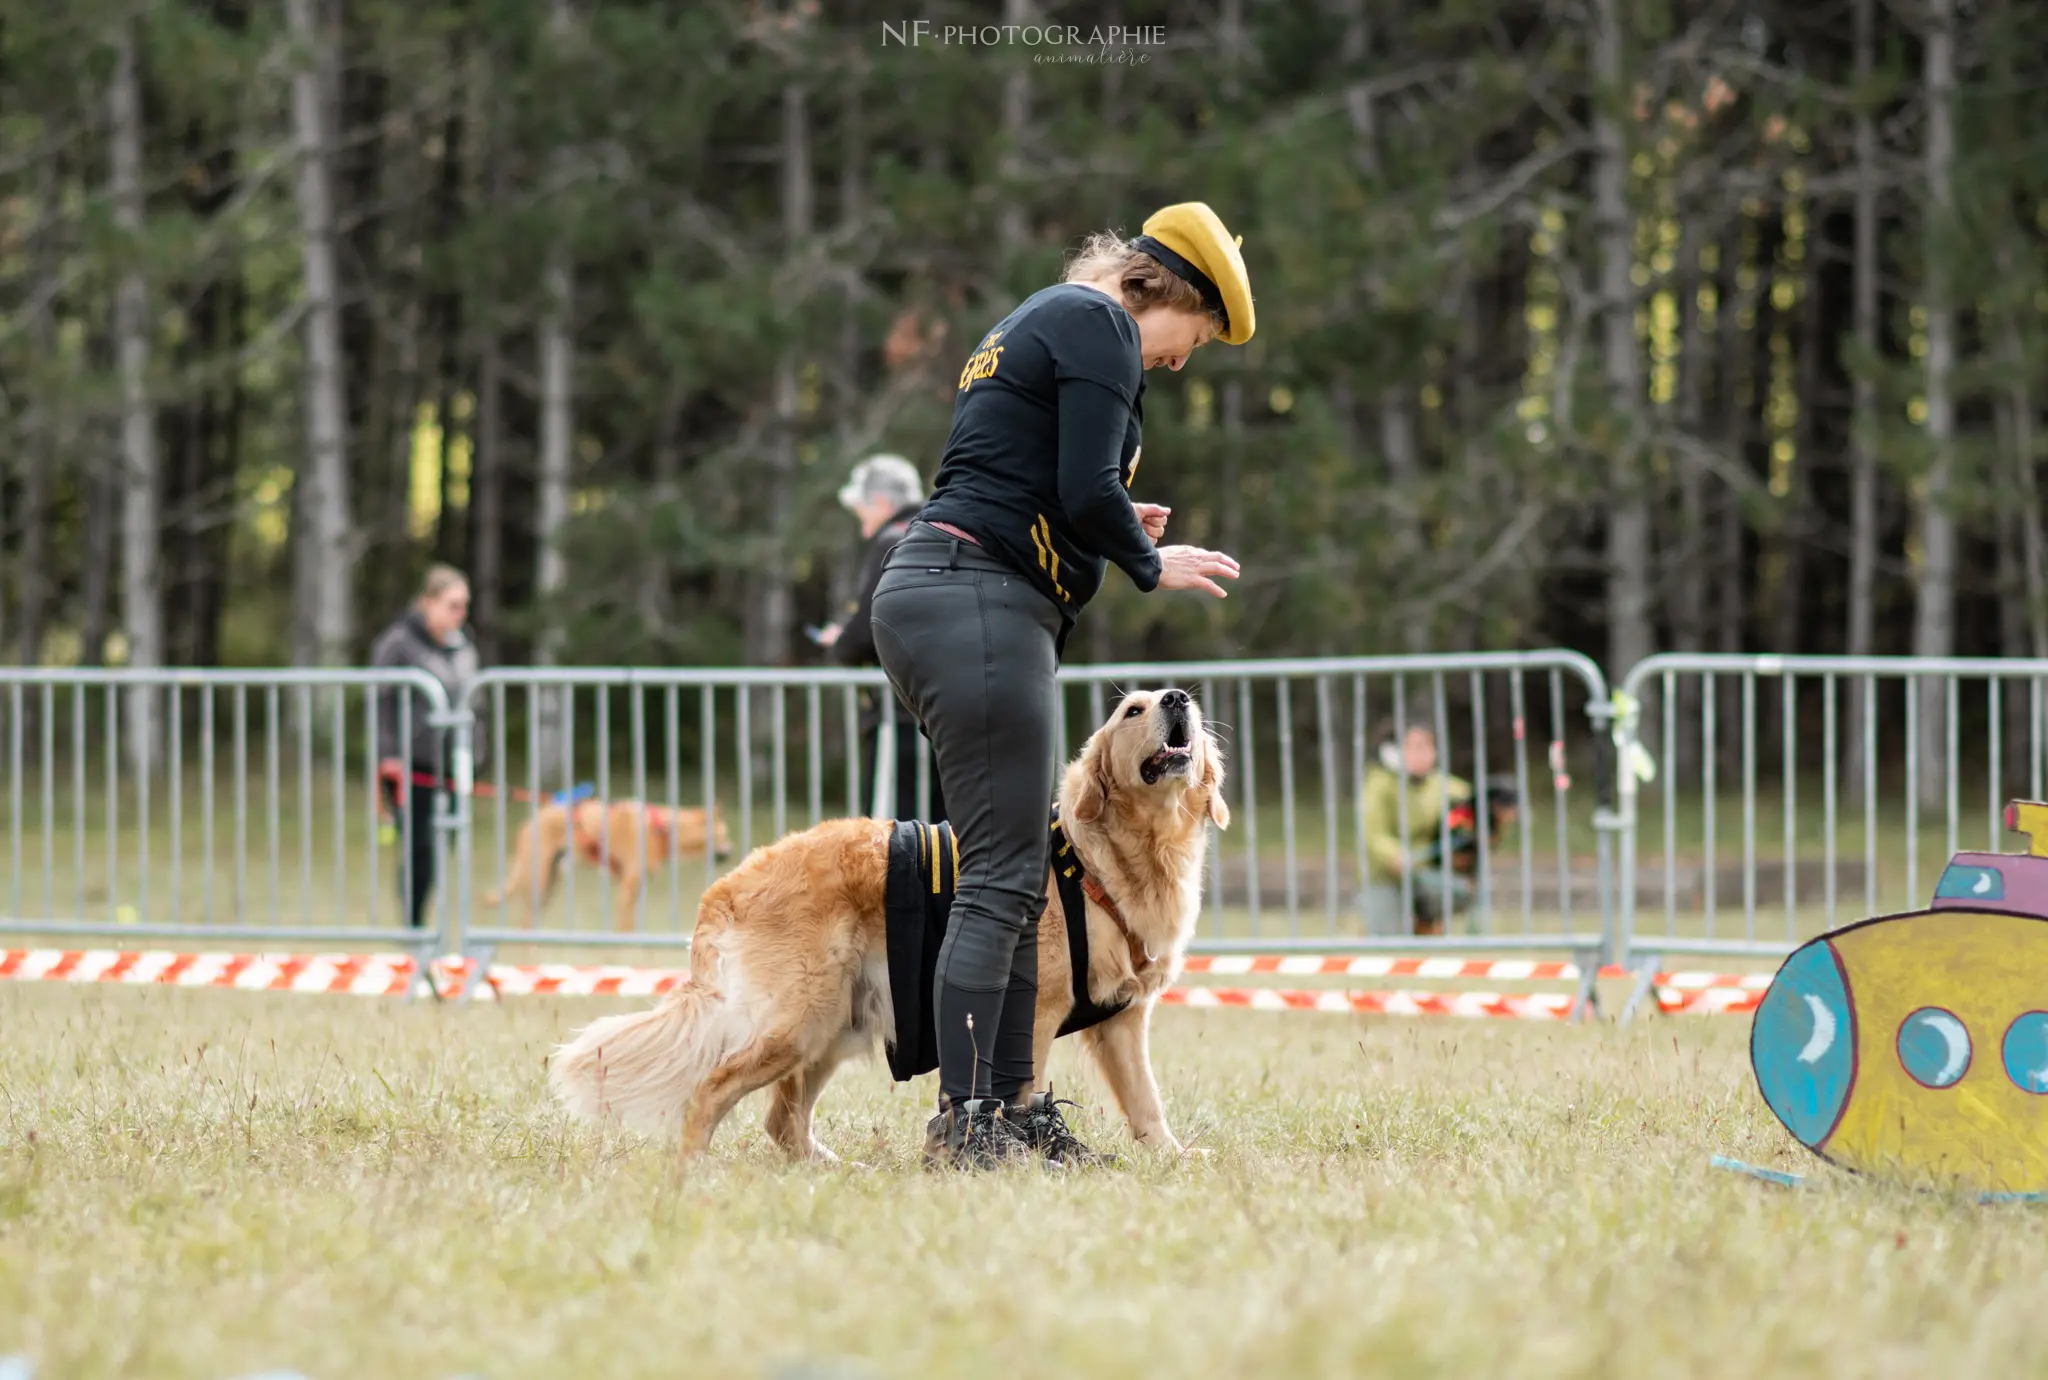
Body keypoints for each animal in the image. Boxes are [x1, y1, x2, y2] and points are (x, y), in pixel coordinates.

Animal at [479, 802, 737, 929]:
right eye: (724, 835)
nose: (731, 852)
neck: (664, 829)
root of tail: (531, 819)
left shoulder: (636, 888)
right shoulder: (629, 886)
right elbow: (625, 927)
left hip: (550, 884)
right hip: (537, 879)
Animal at [548, 683, 1228, 1146]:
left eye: (1174, 704)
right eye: (1131, 712)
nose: (1176, 698)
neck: (1103, 862)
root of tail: (727, 884)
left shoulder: (1123, 1023)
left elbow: (1147, 1104)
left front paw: (1171, 1159)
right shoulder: (1033, 1012)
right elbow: (1021, 1090)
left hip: (832, 1026)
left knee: (782, 1122)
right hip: (798, 1022)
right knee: (710, 1094)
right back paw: (688, 1177)